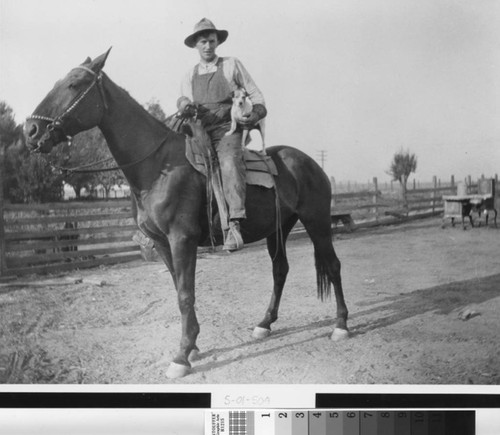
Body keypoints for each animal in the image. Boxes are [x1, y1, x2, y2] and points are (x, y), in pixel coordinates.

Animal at [24, 49, 352, 380]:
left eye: (75, 84)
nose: (30, 131)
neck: (158, 166)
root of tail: (310, 163)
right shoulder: (161, 243)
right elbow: (180, 289)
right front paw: (192, 345)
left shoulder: (182, 239)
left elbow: (185, 294)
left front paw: (182, 356)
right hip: (278, 229)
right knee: (280, 270)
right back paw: (264, 324)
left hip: (317, 222)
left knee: (333, 265)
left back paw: (340, 325)